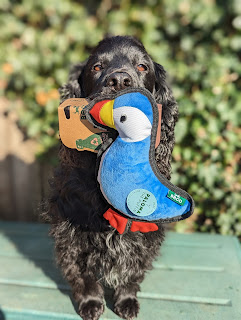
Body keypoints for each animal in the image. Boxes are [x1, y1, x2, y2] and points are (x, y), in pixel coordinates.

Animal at [44, 35, 178, 320]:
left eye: (142, 66)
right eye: (97, 67)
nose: (119, 80)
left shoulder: (144, 233)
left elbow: (133, 269)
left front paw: (126, 300)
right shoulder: (71, 227)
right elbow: (81, 272)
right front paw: (91, 303)